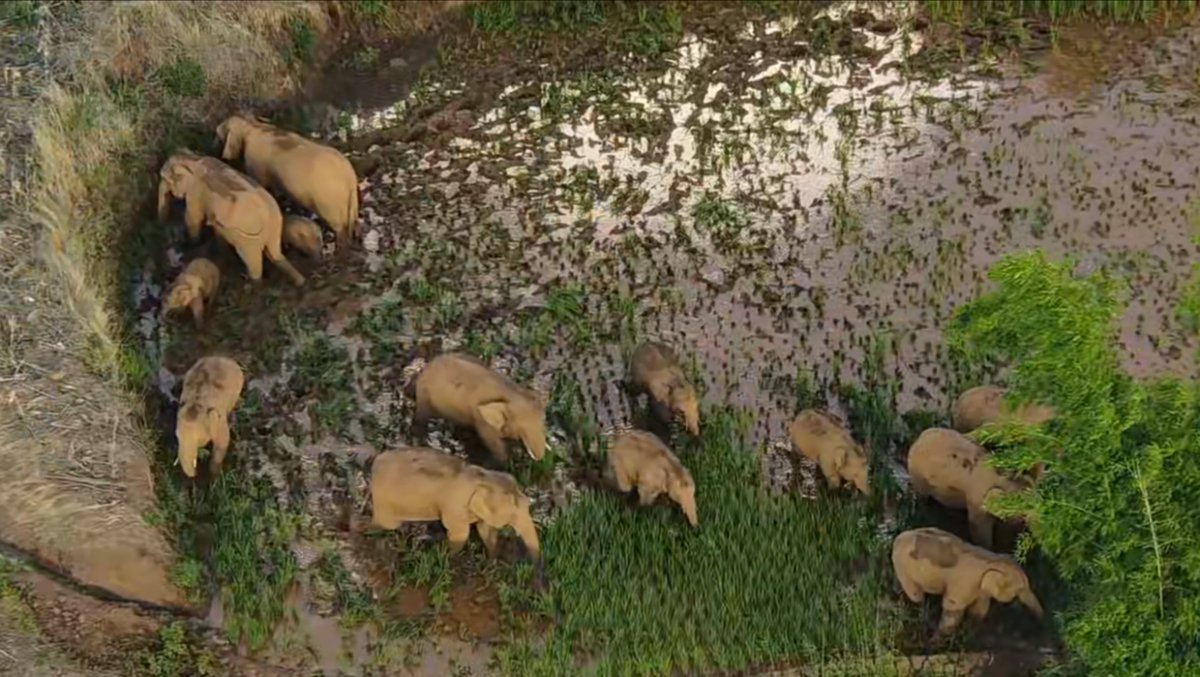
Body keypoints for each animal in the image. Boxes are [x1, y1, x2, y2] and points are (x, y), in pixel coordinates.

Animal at [156, 150, 304, 288]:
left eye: (165, 179)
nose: (163, 227)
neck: (192, 158)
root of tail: (268, 216)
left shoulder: (196, 192)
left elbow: (193, 217)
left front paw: (193, 243)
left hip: (248, 238)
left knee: (253, 262)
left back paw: (251, 284)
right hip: (274, 227)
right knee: (275, 253)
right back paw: (300, 282)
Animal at [216, 116, 357, 248]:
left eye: (225, 127)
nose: (216, 129)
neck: (253, 125)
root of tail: (350, 178)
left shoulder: (256, 164)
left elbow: (263, 184)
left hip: (330, 202)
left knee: (340, 229)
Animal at [367, 444, 542, 561]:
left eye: (528, 505)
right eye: (513, 514)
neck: (483, 477)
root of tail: (376, 461)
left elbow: (485, 530)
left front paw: (492, 558)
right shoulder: (455, 506)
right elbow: (460, 533)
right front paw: (448, 556)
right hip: (384, 498)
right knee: (387, 524)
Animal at [410, 352, 547, 463]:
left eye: (543, 420)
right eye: (522, 430)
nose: (539, 457)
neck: (511, 394)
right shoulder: (484, 423)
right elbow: (495, 445)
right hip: (425, 398)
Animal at [892, 525, 1041, 638]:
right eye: (1021, 589)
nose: (1041, 621)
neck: (993, 560)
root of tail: (899, 537)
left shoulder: (978, 586)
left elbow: (979, 610)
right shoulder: (964, 583)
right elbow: (952, 607)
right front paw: (936, 642)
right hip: (903, 567)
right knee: (915, 595)